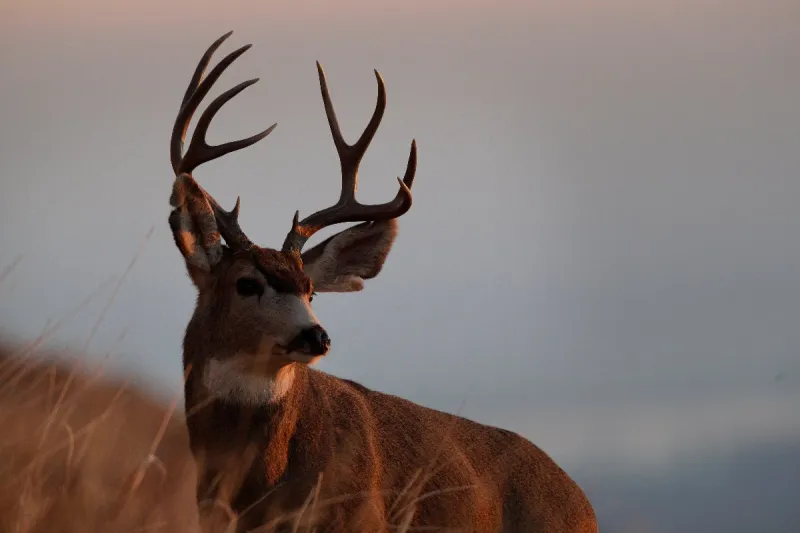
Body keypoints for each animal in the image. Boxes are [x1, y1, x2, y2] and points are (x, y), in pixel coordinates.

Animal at [167, 32, 597, 533]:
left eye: (310, 289)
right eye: (247, 283)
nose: (317, 335)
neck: (258, 487)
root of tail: (582, 502)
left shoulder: (360, 518)